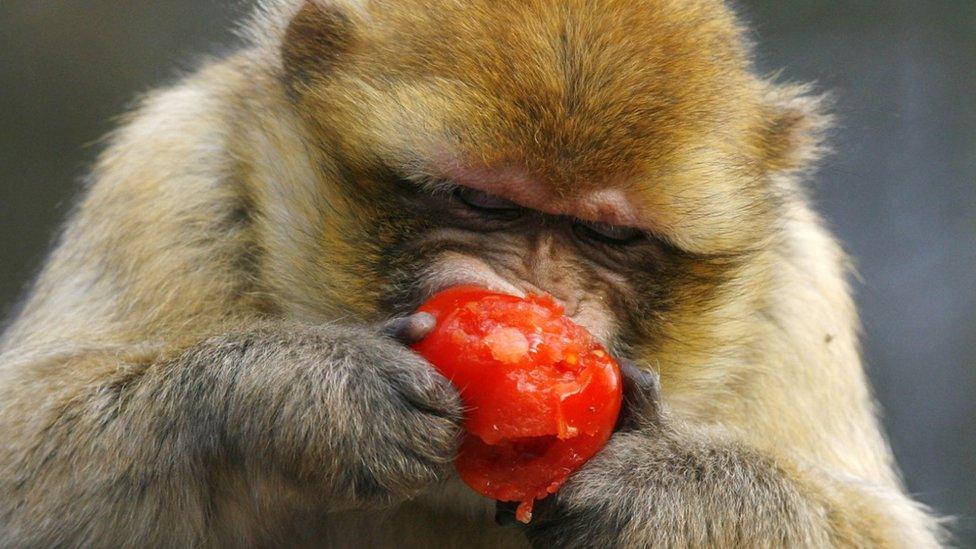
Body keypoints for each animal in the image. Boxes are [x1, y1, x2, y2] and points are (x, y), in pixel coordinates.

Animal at [0, 0, 948, 544]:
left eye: (609, 234)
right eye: (481, 199)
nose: (538, 300)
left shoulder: (799, 293)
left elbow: (877, 529)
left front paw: (663, 490)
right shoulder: (171, 170)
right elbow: (24, 460)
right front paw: (303, 392)